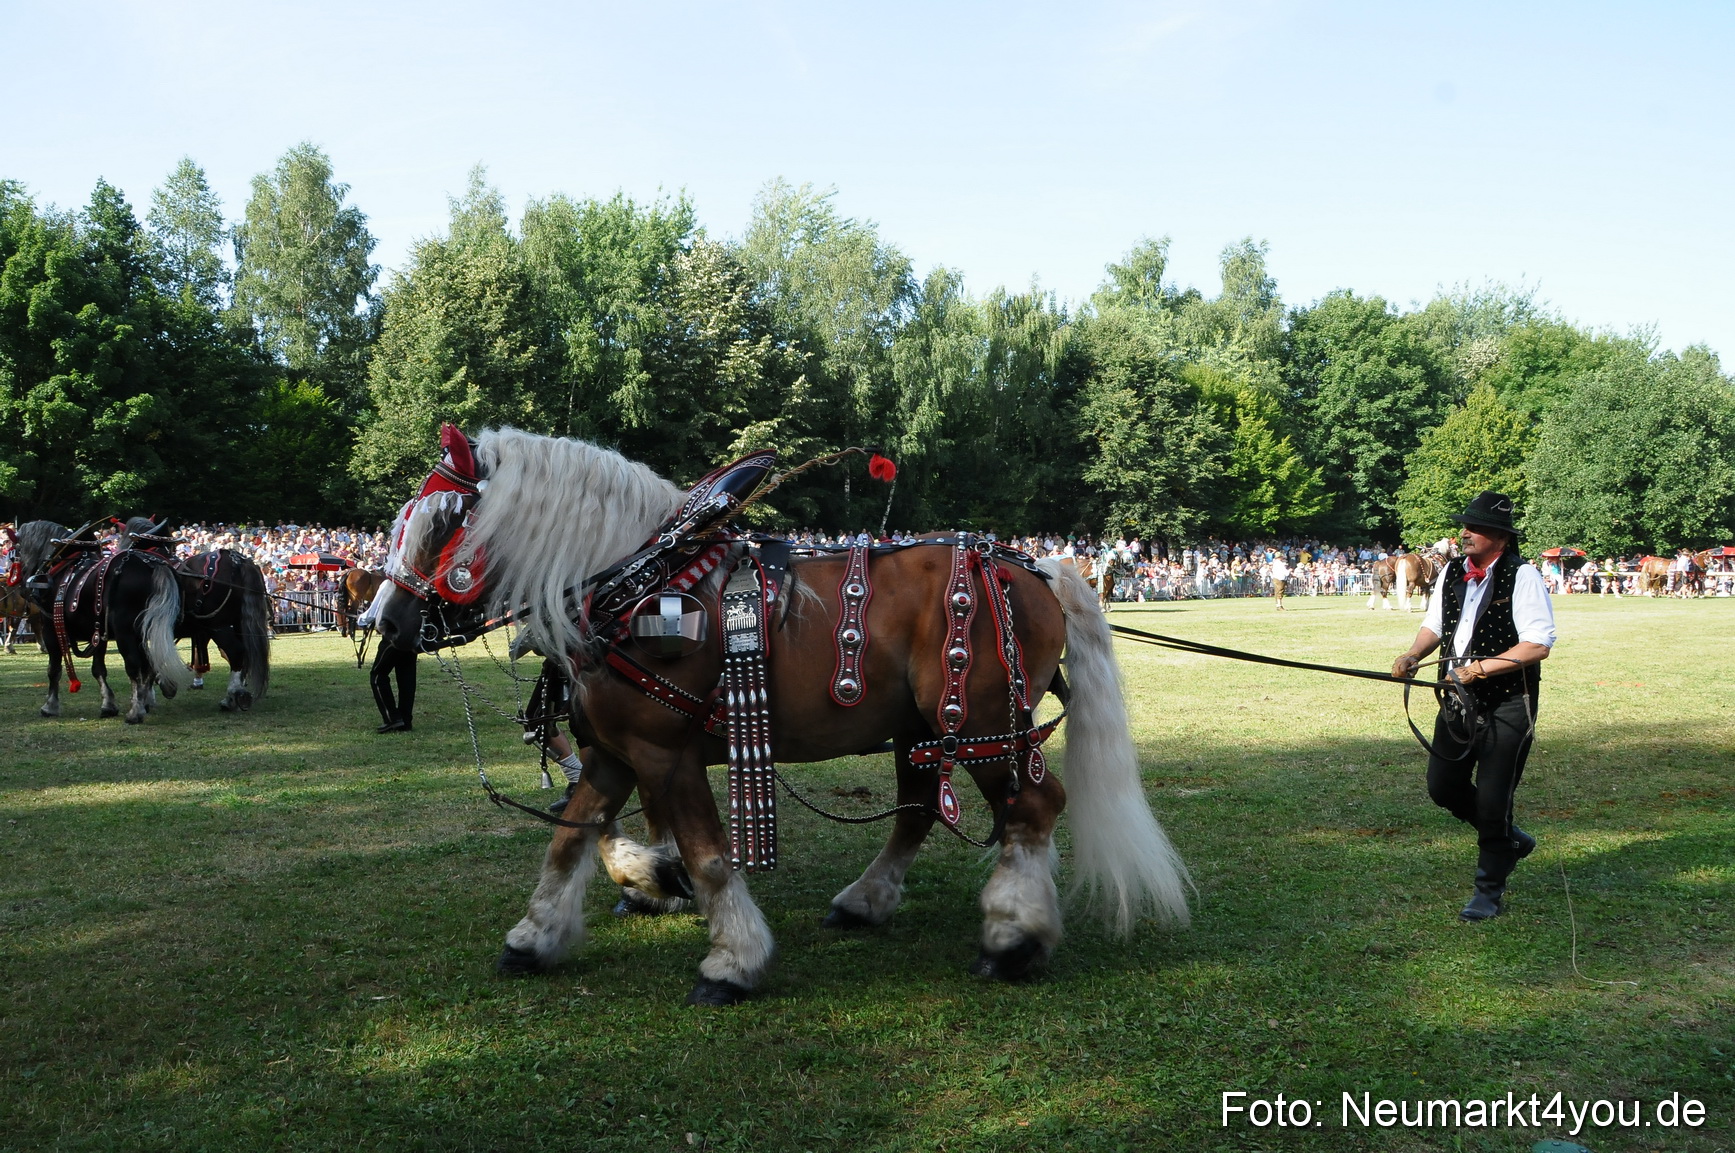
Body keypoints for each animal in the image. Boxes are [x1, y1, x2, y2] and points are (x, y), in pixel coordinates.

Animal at [16, 519, 193, 722]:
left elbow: (54, 669)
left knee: (134, 665)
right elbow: (98, 669)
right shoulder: (98, 632)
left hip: (125, 632)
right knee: (147, 663)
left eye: (18, 548)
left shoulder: (51, 629)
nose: (23, 587)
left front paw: (50, 706)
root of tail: (153, 564)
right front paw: (108, 704)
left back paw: (136, 711)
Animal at [372, 426, 1190, 1006]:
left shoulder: (663, 751)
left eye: (442, 519)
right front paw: (541, 933)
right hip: (924, 730)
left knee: (1032, 808)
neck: (633, 584)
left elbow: (706, 854)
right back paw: (869, 901)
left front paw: (731, 960)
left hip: (982, 723)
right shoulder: (611, 750)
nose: (386, 621)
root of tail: (1036, 566)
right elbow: (571, 841)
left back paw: (1013, 936)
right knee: (922, 810)